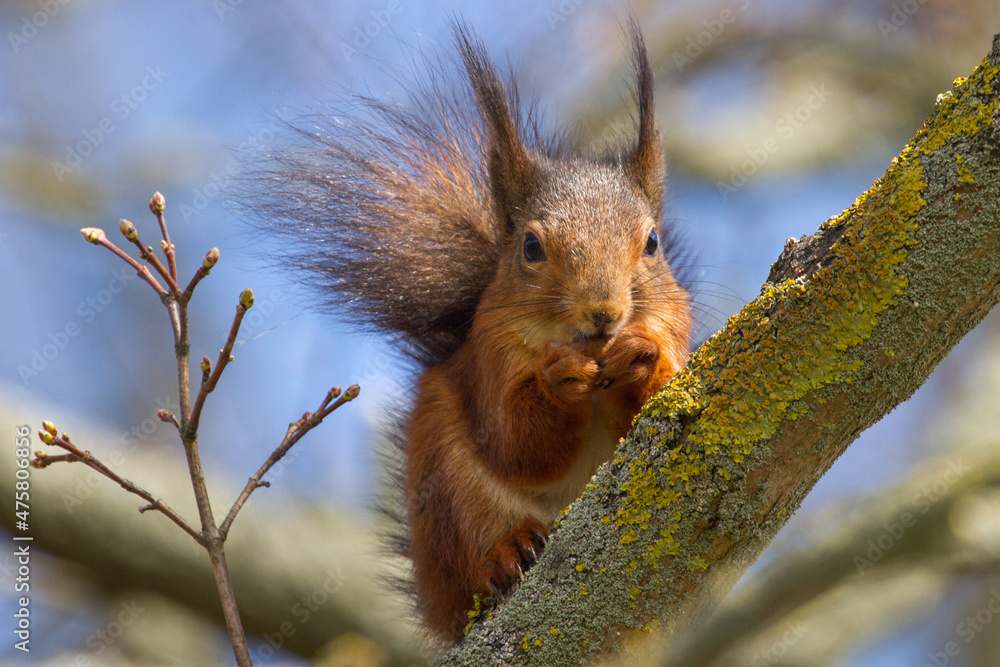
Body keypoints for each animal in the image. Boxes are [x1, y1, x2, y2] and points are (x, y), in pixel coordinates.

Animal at [252, 23, 688, 644]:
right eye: (531, 247)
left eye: (652, 242)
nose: (603, 313)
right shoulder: (489, 356)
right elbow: (513, 440)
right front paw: (559, 378)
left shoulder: (678, 330)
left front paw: (642, 356)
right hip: (450, 489)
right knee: (474, 560)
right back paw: (507, 553)